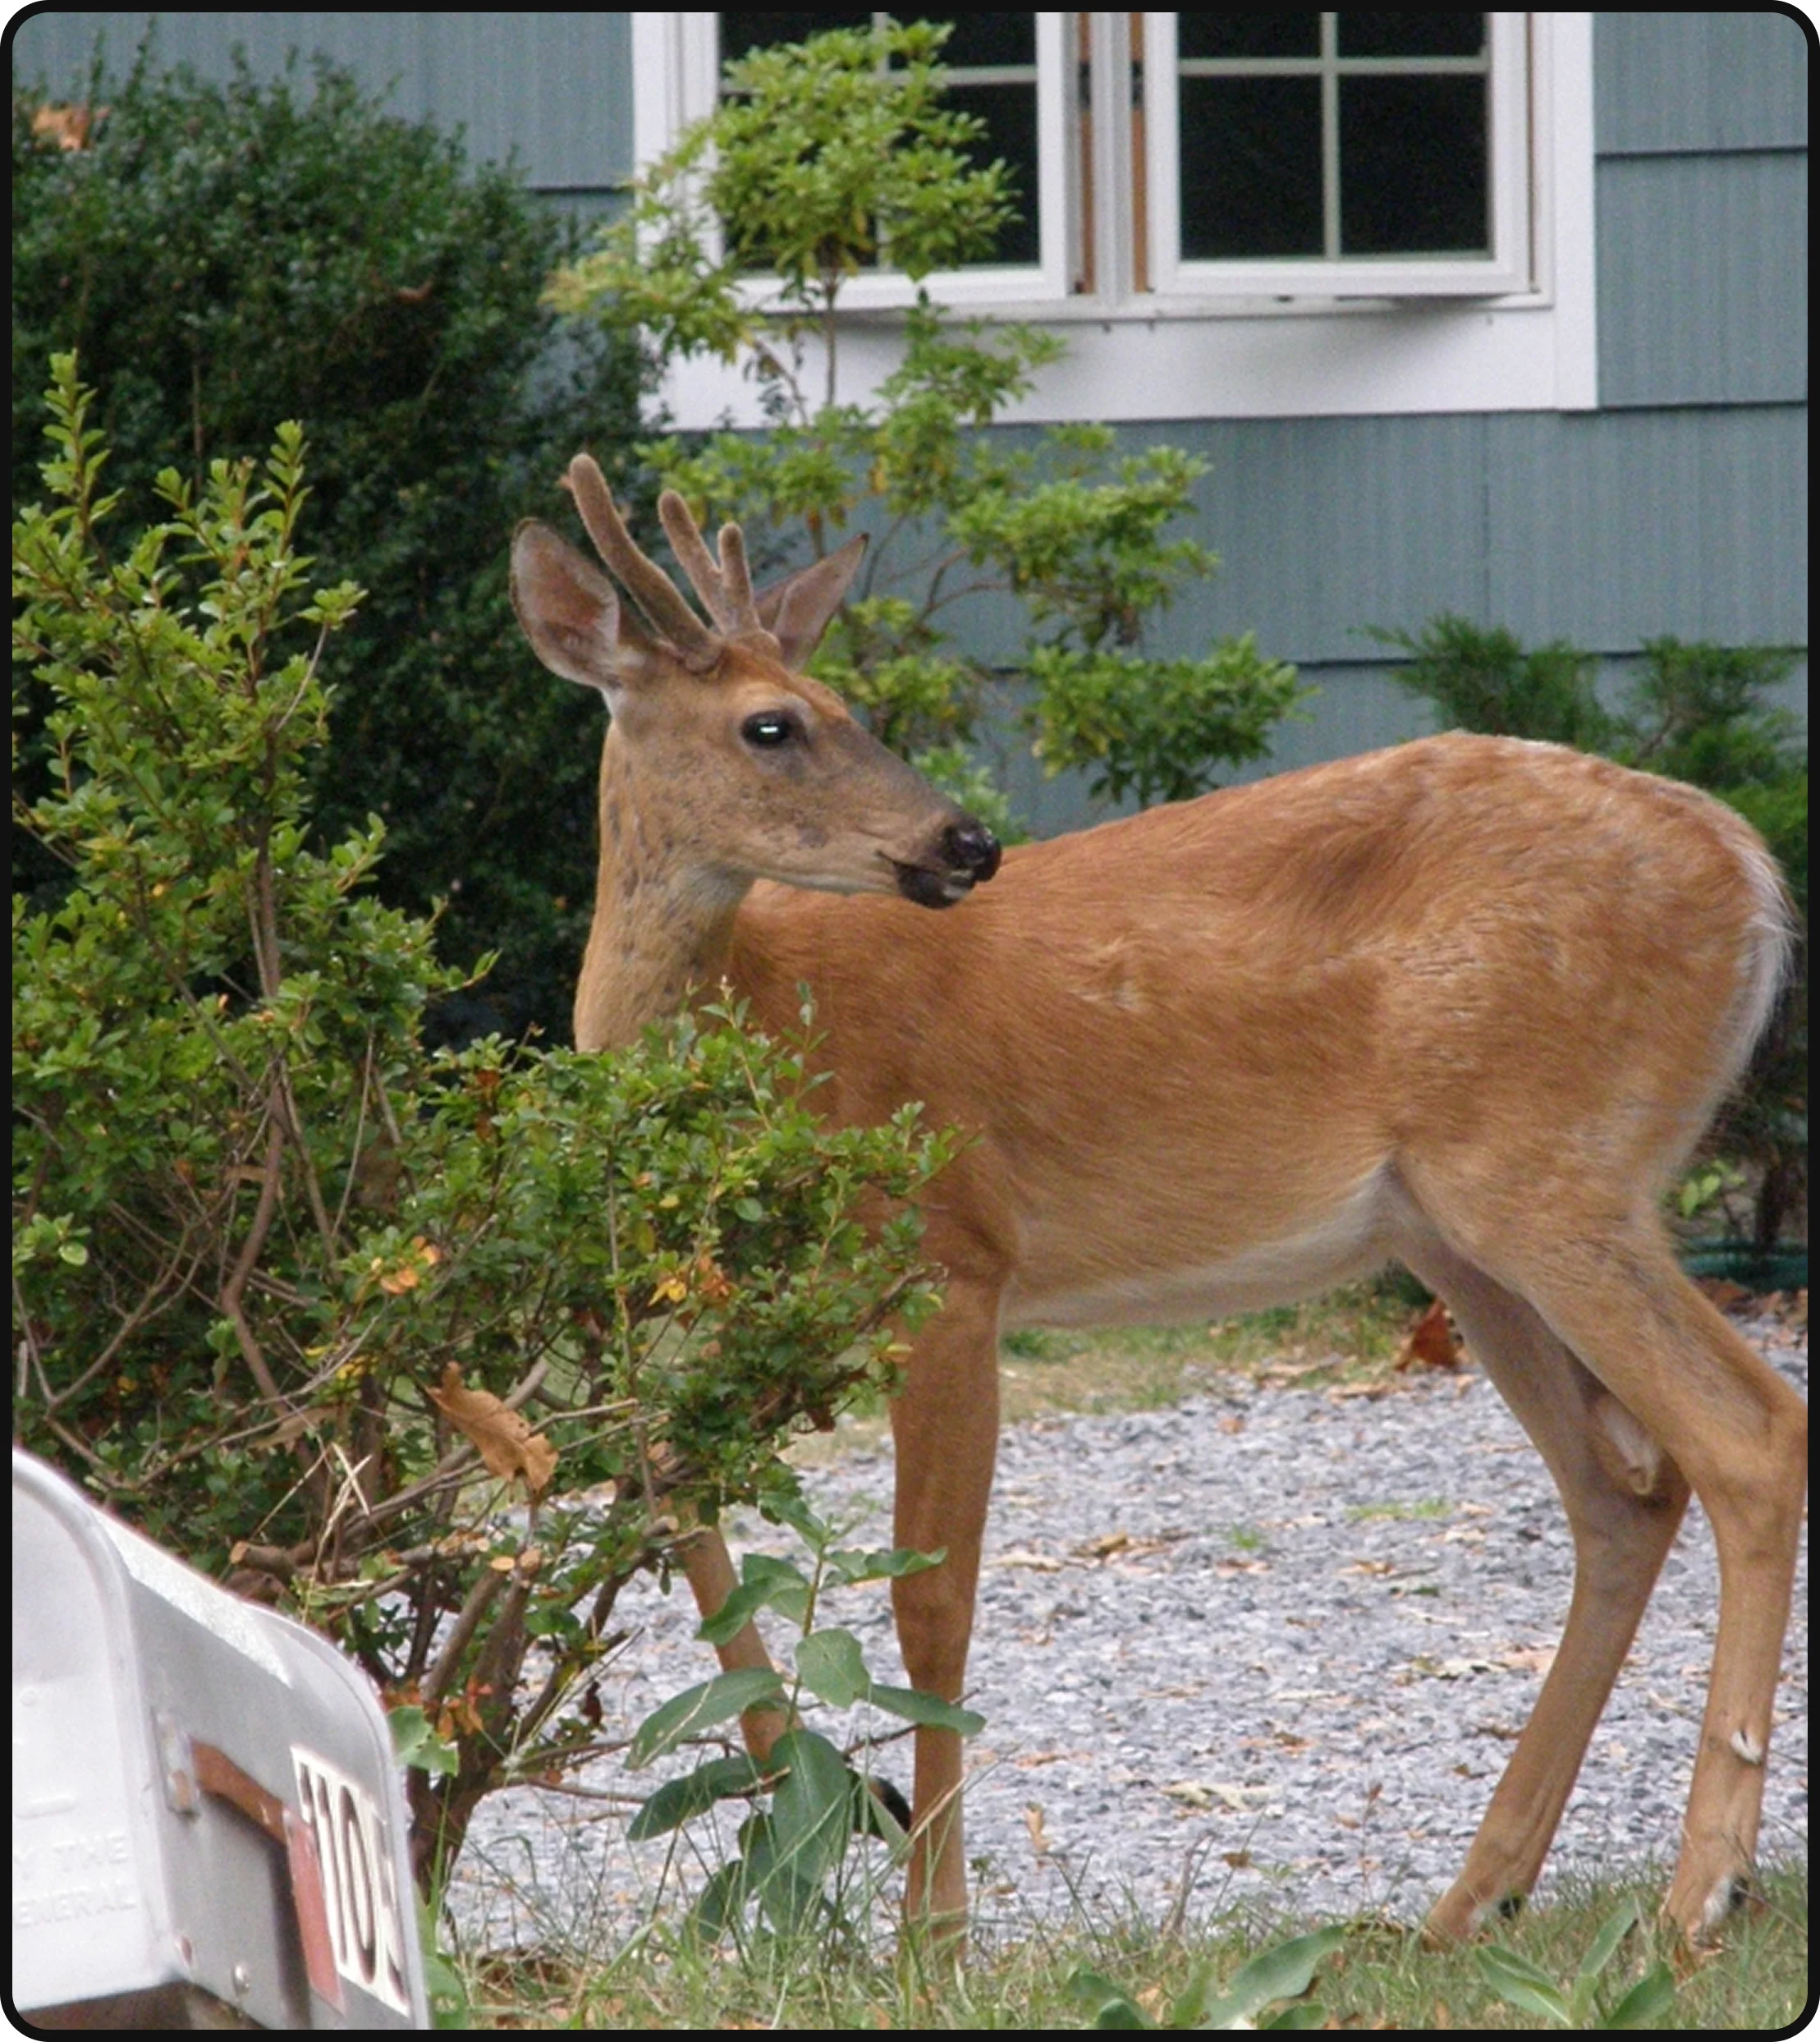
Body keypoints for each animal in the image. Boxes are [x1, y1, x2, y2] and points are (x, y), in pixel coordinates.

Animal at [511, 455, 1806, 1953]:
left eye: (843, 704)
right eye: (772, 723)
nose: (964, 840)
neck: (769, 1019)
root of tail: (1747, 867)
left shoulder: (951, 1257)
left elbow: (933, 1600)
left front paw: (929, 1935)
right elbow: (671, 1494)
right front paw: (817, 1823)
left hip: (1551, 1167)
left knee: (1750, 1433)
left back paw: (1698, 1890)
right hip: (1459, 1232)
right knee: (1621, 1490)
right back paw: (1471, 1898)